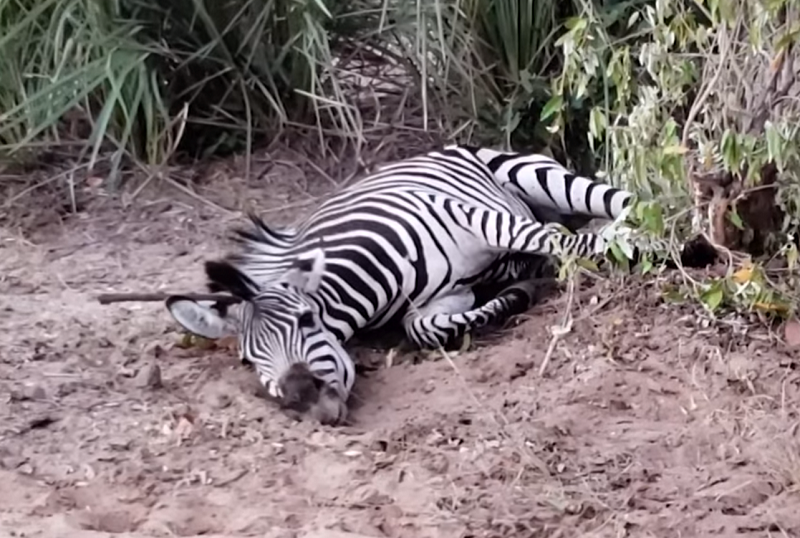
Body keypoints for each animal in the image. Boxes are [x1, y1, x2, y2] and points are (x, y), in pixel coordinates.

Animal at [166, 144, 636, 426]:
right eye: (248, 360)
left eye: (306, 320)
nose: (303, 400)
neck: (374, 283)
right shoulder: (445, 297)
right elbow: (423, 328)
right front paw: (518, 292)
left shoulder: (474, 218)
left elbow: (559, 240)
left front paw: (629, 245)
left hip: (531, 175)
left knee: (611, 201)